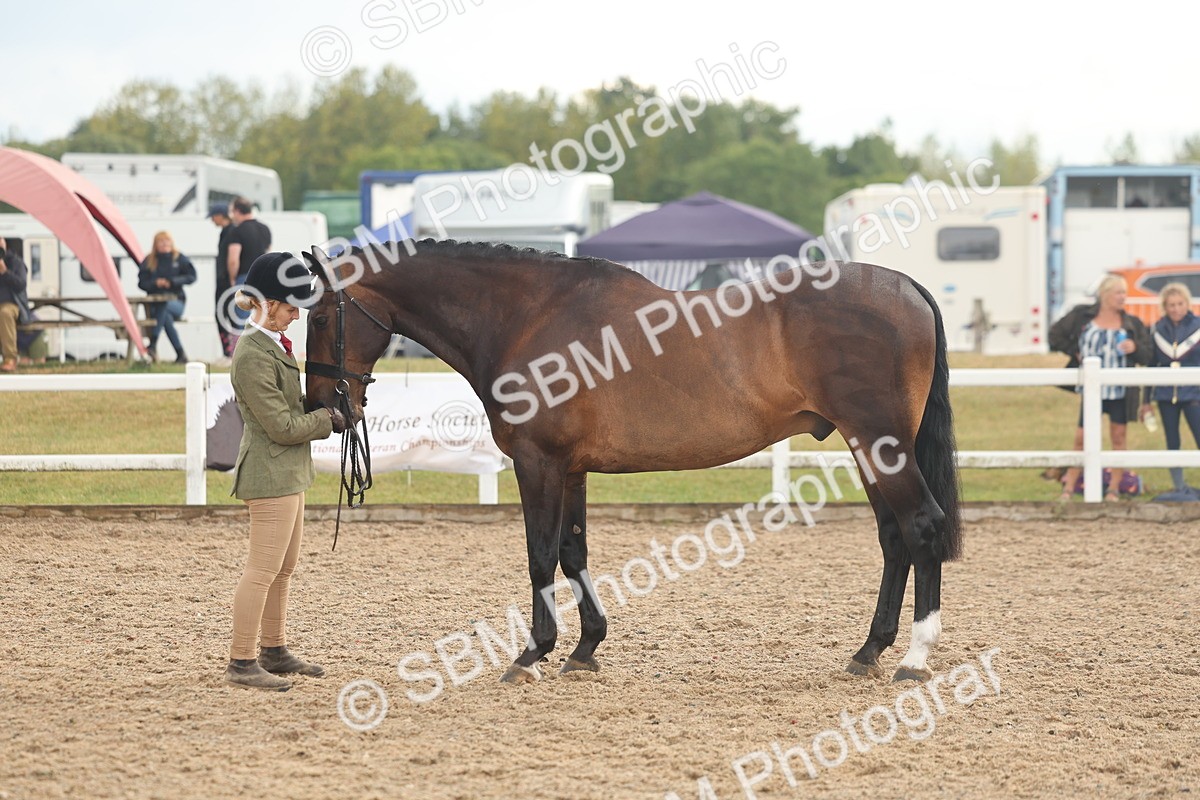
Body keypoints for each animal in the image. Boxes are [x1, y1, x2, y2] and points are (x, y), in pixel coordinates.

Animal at [300, 240, 962, 684]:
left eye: (323, 315)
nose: (321, 403)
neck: (530, 317)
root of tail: (907, 288)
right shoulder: (570, 469)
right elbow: (573, 552)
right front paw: (584, 649)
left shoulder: (538, 463)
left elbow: (540, 554)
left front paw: (532, 653)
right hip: (867, 449)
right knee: (894, 538)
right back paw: (868, 651)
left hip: (880, 443)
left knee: (922, 527)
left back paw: (914, 658)